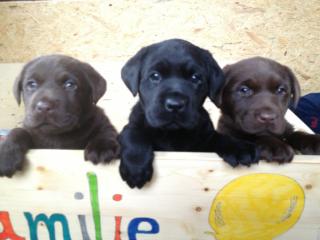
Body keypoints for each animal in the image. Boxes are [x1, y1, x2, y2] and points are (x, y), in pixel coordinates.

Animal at [119, 39, 258, 188]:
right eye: (155, 76)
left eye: (195, 77)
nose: (175, 105)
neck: (172, 134)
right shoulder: (133, 124)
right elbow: (133, 134)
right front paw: (136, 167)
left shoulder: (204, 139)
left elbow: (218, 137)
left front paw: (240, 148)